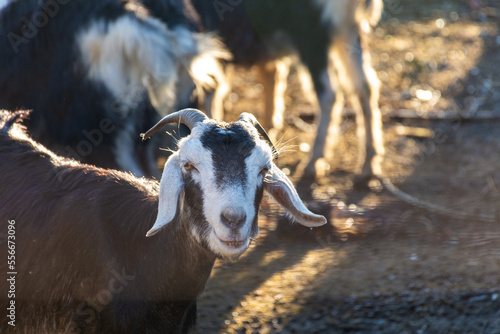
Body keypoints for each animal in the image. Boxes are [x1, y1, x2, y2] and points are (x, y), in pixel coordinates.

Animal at [189, 0, 384, 185]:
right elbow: (269, 77)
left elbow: (210, 89)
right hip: (350, 33)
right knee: (365, 87)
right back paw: (368, 165)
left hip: (312, 35)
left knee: (329, 94)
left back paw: (313, 163)